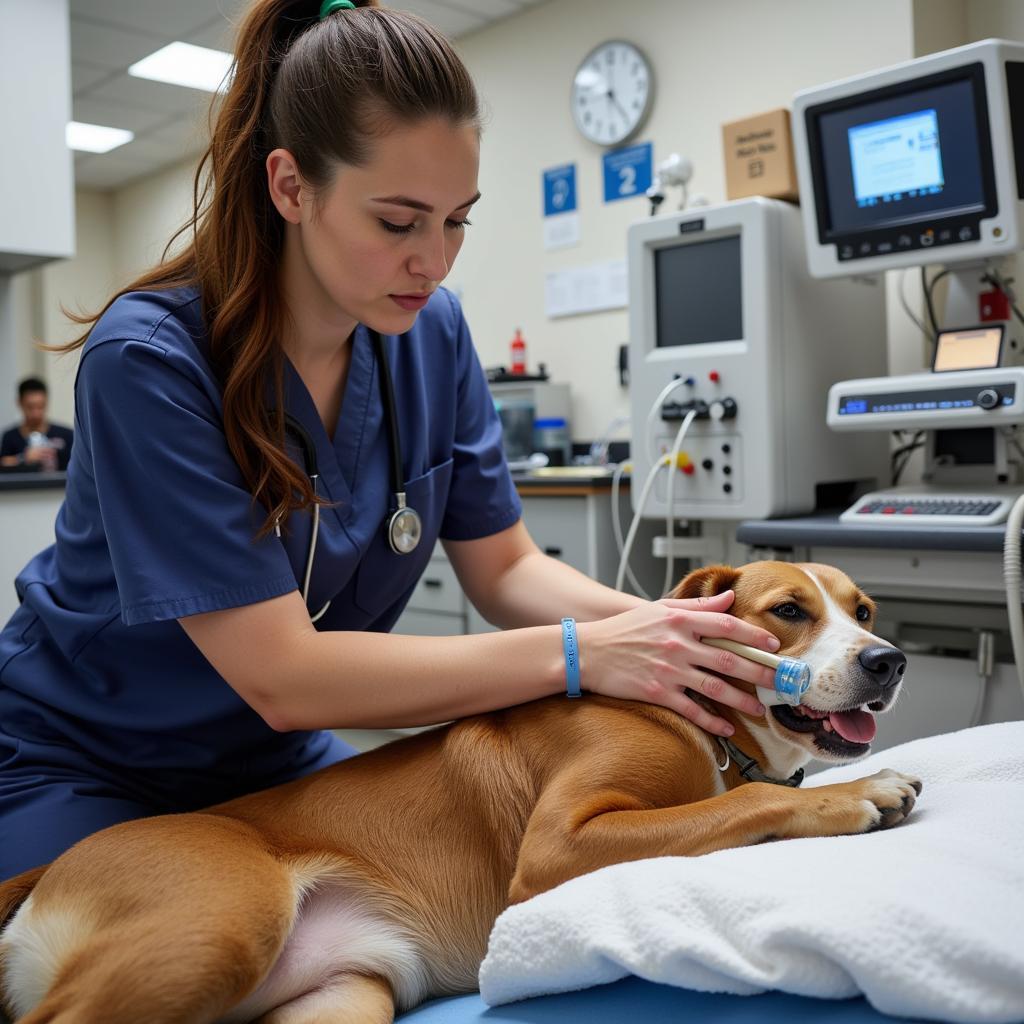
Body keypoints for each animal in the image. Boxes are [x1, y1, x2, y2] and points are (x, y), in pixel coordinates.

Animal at [0, 565, 921, 1024]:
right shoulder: (557, 845)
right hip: (217, 925)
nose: (889, 660)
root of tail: (47, 867)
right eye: (788, 611)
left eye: (866, 609)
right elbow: (735, 806)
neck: (703, 722)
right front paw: (858, 791)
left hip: (343, 999)